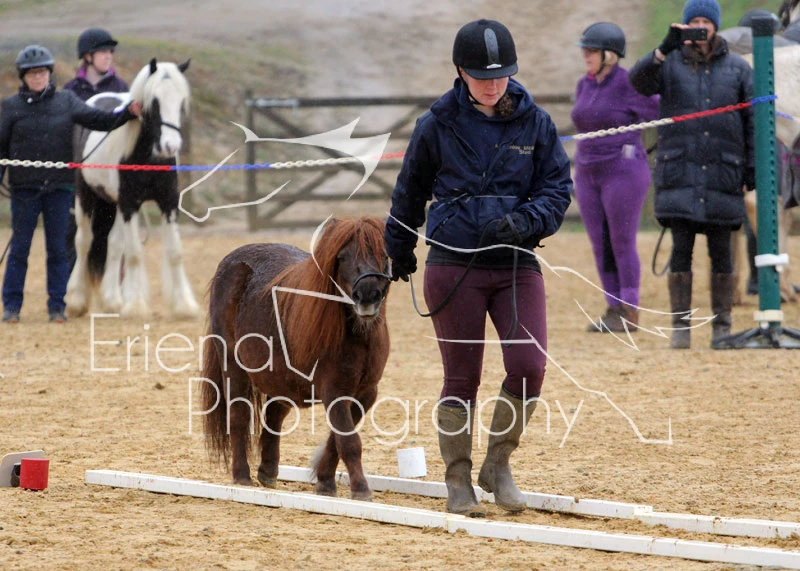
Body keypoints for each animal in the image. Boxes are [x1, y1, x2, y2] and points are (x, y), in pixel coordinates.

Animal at [65, 58, 200, 319]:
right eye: (154, 102)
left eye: (181, 102)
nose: (171, 146)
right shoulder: (130, 204)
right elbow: (135, 254)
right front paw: (136, 306)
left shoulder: (168, 203)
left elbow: (175, 252)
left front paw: (184, 306)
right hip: (86, 195)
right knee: (84, 241)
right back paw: (76, 301)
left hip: (115, 203)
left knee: (114, 243)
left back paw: (112, 301)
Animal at [200, 217, 391, 500]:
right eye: (342, 257)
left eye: (384, 254)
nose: (367, 296)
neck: (356, 335)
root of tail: (230, 263)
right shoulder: (334, 391)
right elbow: (348, 441)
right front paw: (360, 490)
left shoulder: (366, 393)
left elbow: (336, 440)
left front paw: (325, 482)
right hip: (233, 365)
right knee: (238, 415)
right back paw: (242, 476)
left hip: (282, 378)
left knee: (274, 413)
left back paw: (268, 471)